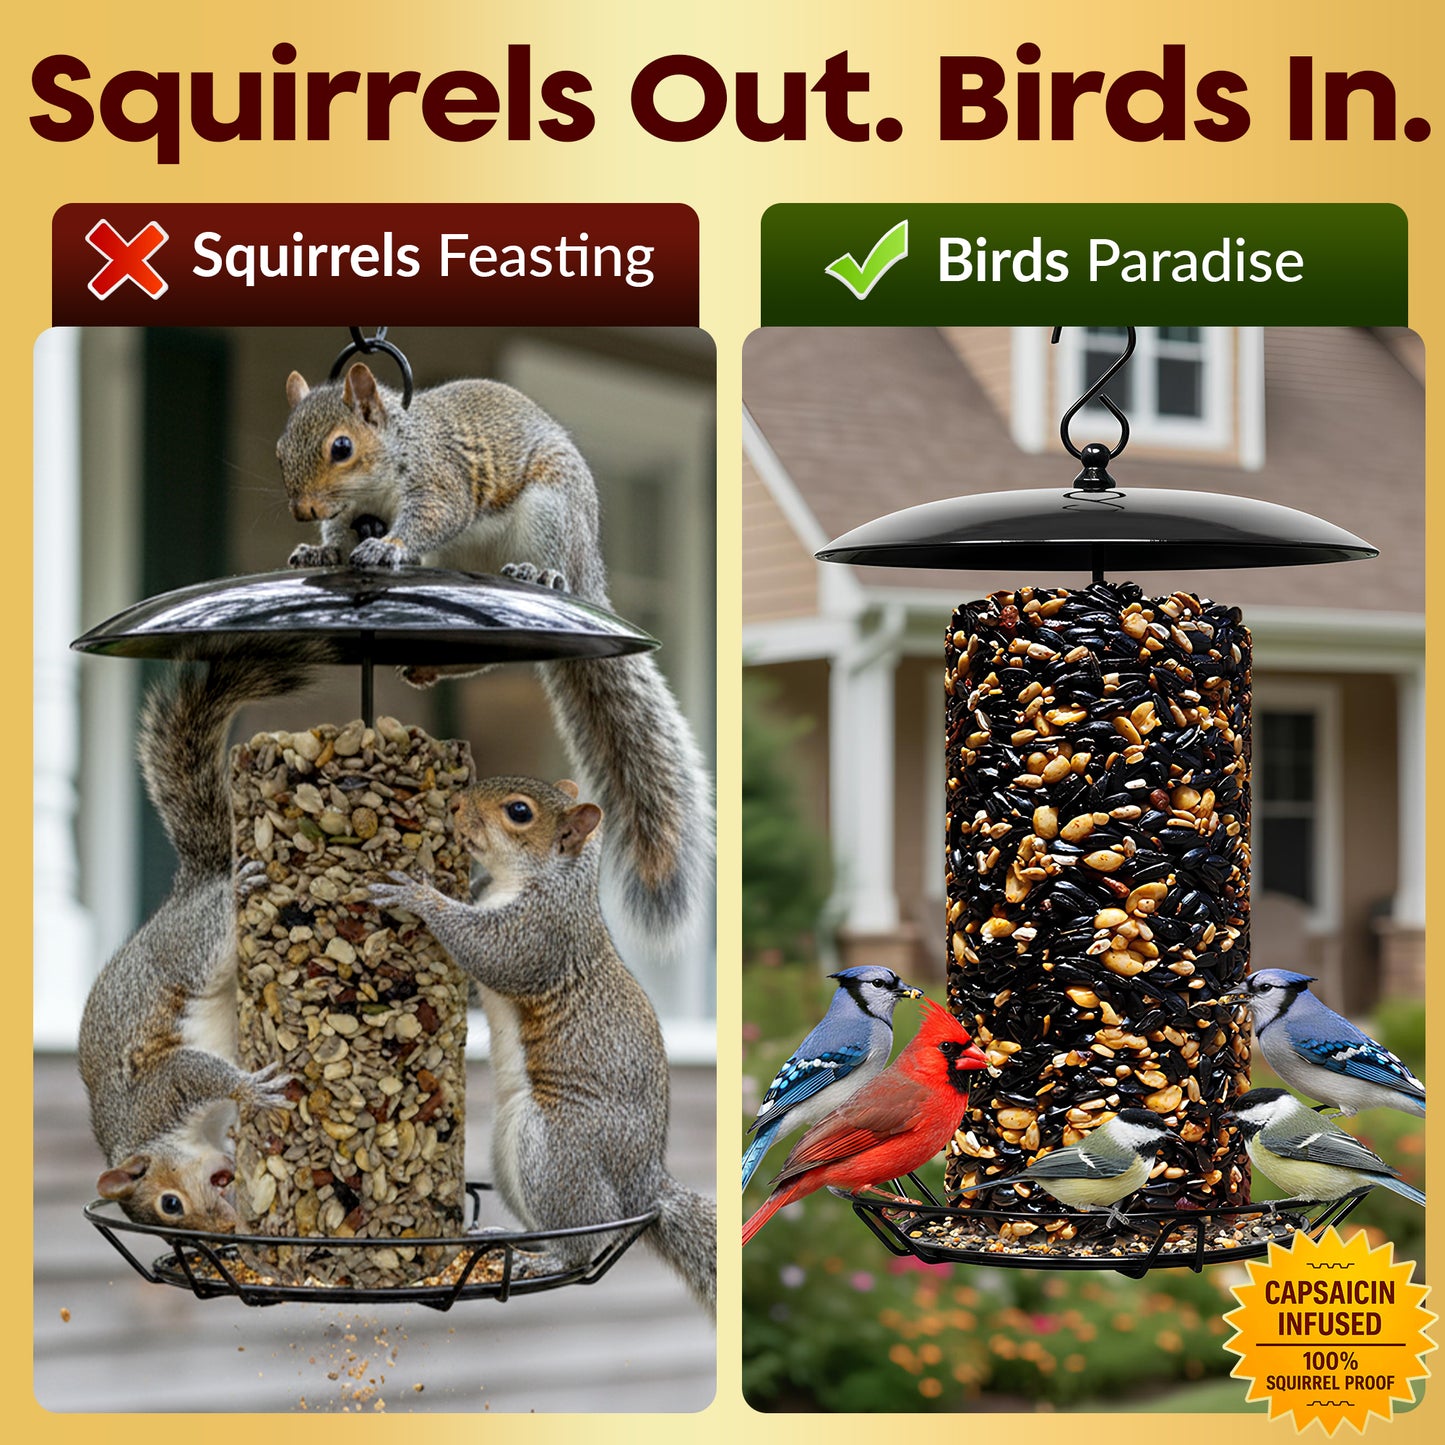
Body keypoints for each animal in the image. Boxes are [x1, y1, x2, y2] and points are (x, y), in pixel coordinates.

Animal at [78, 648, 318, 1232]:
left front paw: (250, 1089)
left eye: (171, 1203)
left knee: (213, 927)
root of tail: (190, 887)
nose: (226, 1228)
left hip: (193, 946)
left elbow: (200, 1073)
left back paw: (236, 889)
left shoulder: (165, 1090)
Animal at [276, 362, 713, 946]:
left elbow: (435, 514)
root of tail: (589, 565)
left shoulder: (440, 478)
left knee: (548, 568)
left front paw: (388, 547)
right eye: (280, 450)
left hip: (549, 514)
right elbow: (341, 537)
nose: (302, 510)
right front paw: (319, 550)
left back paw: (539, 574)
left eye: (341, 447)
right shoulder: (351, 514)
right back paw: (431, 660)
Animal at [366, 775, 717, 1317]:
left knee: (585, 1238)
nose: (456, 804)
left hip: (556, 1145)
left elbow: (490, 953)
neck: (540, 879)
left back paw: (548, 1260)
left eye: (519, 812)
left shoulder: (540, 935)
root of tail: (643, 1188)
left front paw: (420, 896)